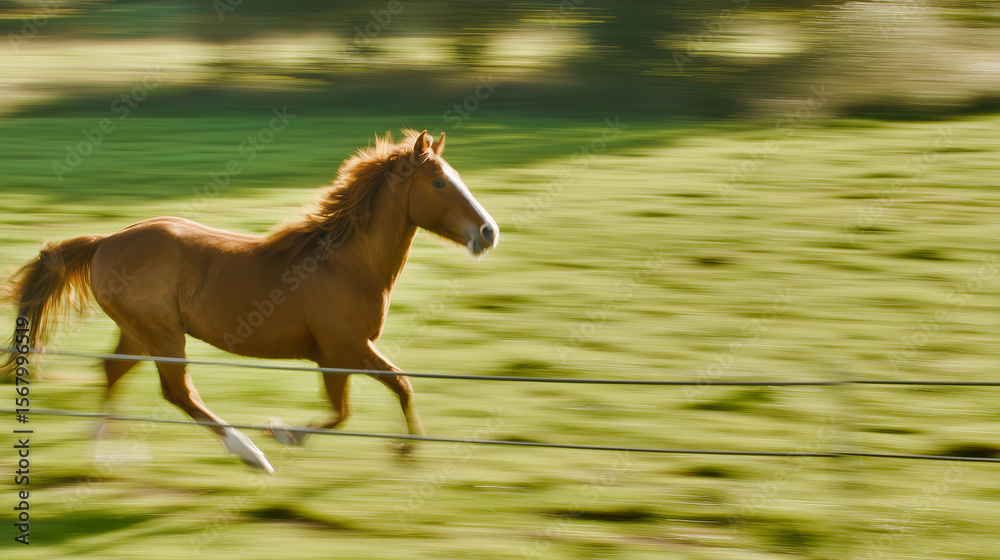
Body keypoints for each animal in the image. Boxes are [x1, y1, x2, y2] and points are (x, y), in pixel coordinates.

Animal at [2, 130, 499, 473]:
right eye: (439, 183)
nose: (489, 232)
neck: (344, 265)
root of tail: (104, 242)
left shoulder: (349, 351)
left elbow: (396, 388)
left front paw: (406, 449)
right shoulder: (341, 349)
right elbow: (356, 405)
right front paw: (284, 433)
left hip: (139, 332)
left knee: (113, 370)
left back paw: (103, 451)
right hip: (163, 335)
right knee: (178, 392)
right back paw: (252, 455)